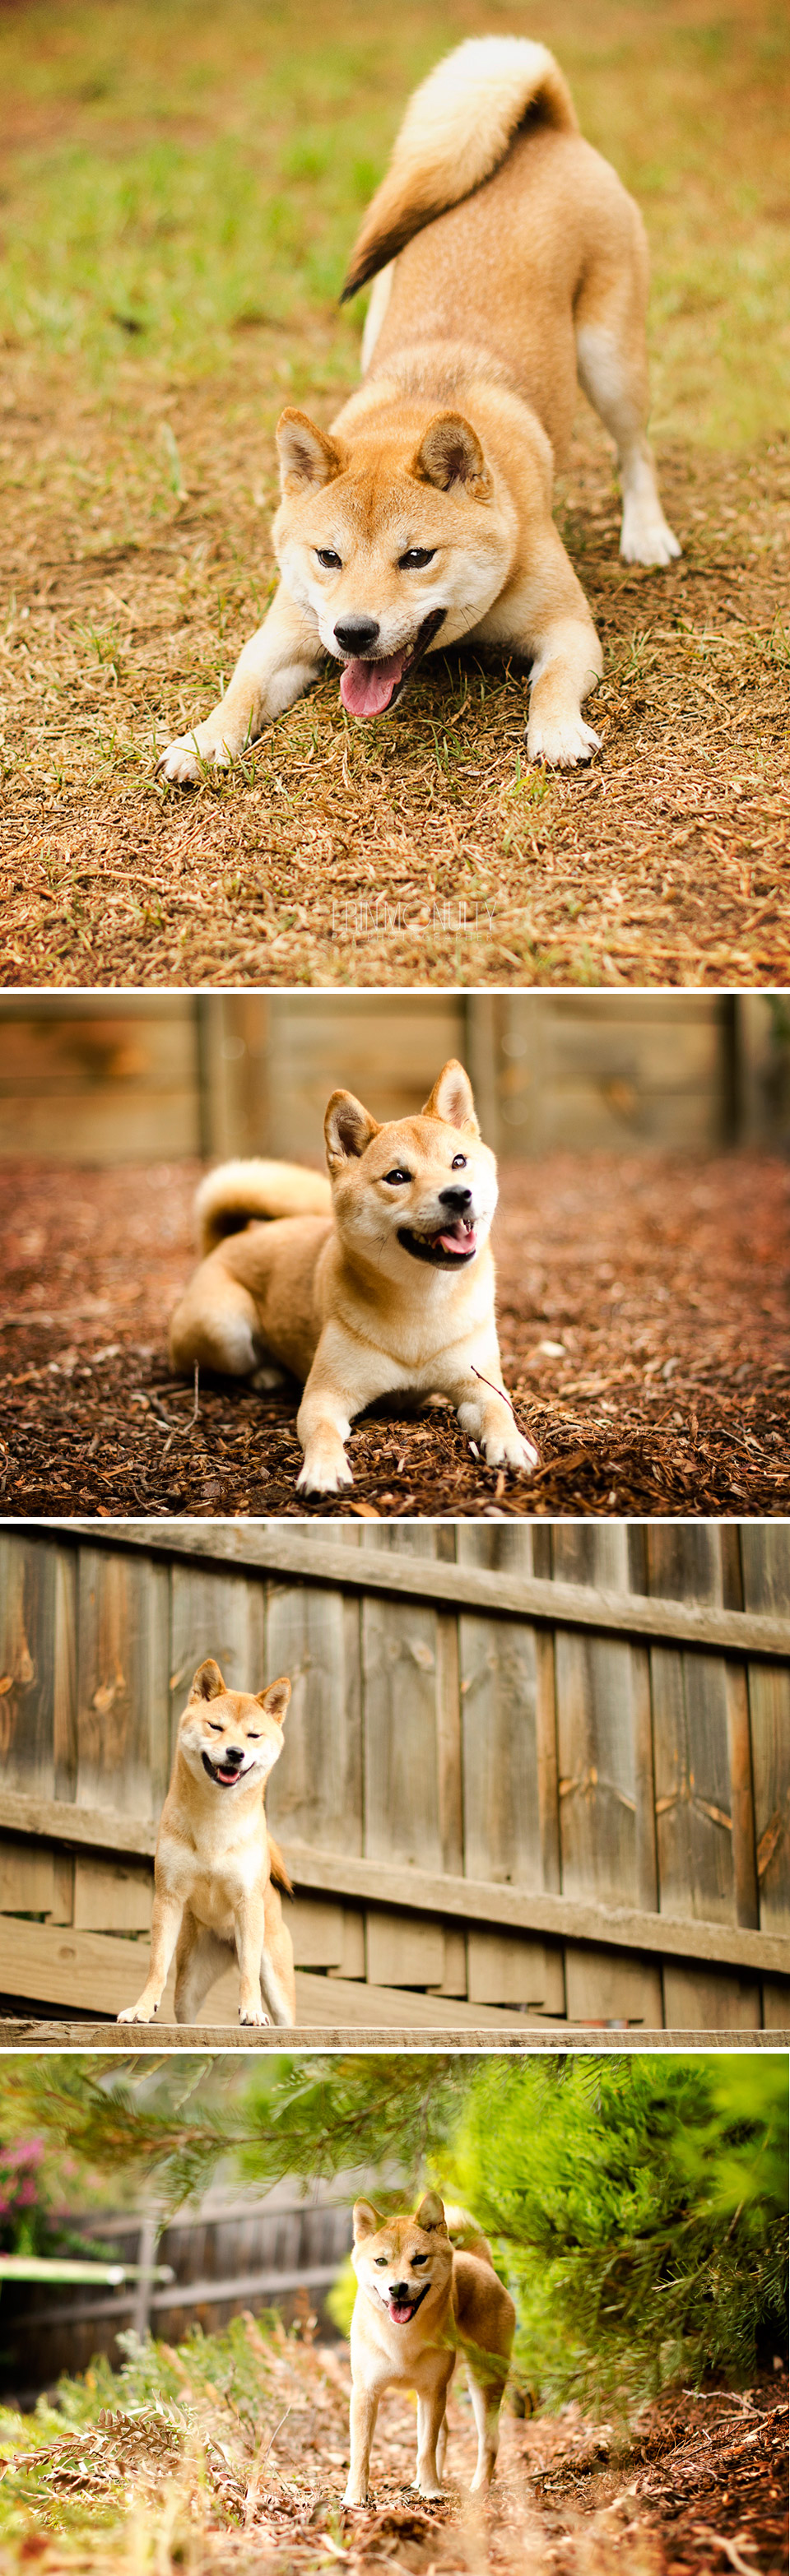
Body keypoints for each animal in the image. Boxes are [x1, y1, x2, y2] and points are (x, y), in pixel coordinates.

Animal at [118, 1648, 298, 2030]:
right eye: (216, 1727)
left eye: (253, 1736)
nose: (235, 1753)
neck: (216, 1821)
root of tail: (228, 1944)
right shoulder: (168, 1897)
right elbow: (156, 1965)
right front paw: (141, 2009)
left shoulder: (247, 1903)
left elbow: (248, 1974)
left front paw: (251, 2011)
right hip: (190, 1984)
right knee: (187, 2014)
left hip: (277, 1977)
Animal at [157, 35, 679, 782]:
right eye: (328, 556)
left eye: (416, 557)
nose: (353, 633)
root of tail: (544, 125)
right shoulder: (285, 630)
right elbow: (243, 684)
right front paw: (205, 740)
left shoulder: (568, 628)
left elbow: (551, 681)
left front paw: (556, 729)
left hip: (611, 361)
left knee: (634, 452)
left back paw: (646, 533)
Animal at [167, 1056, 537, 1504]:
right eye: (398, 1177)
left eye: (459, 1162)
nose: (458, 1194)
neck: (422, 1301)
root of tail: (229, 1241)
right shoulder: (326, 1398)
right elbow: (323, 1433)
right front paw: (324, 1468)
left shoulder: (479, 1385)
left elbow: (501, 1411)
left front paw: (511, 1444)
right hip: (223, 1327)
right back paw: (265, 1373)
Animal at [345, 2184, 517, 2504]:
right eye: (381, 2261)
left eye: (419, 2259)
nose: (397, 2288)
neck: (401, 2338)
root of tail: (478, 2259)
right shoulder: (366, 2393)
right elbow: (361, 2451)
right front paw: (356, 2496)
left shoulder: (431, 2392)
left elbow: (426, 2447)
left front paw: (432, 2490)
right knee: (446, 2433)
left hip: (483, 2382)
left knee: (488, 2441)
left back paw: (478, 2488)